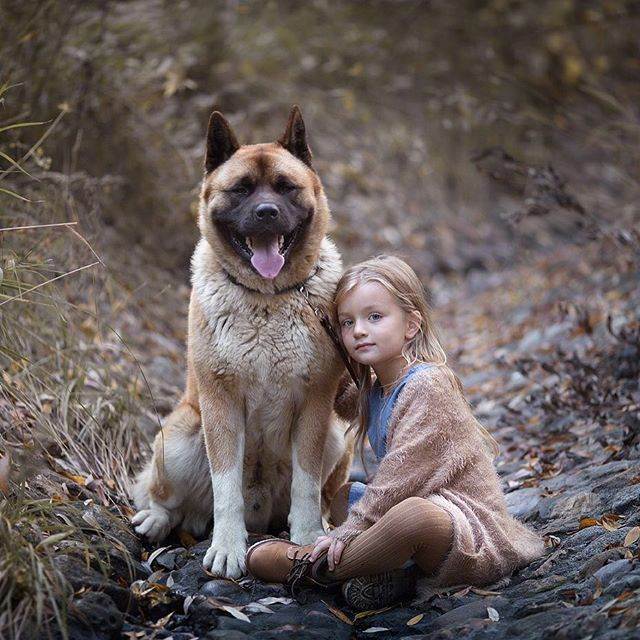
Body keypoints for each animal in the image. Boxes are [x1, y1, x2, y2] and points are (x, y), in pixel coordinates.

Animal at [129, 106, 350, 580]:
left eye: (285, 187)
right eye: (241, 190)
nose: (266, 212)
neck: (268, 299)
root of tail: (261, 510)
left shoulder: (315, 407)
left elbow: (306, 487)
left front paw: (308, 537)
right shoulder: (221, 405)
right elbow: (225, 488)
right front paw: (228, 547)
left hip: (335, 437)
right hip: (180, 436)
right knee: (167, 497)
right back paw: (156, 518)